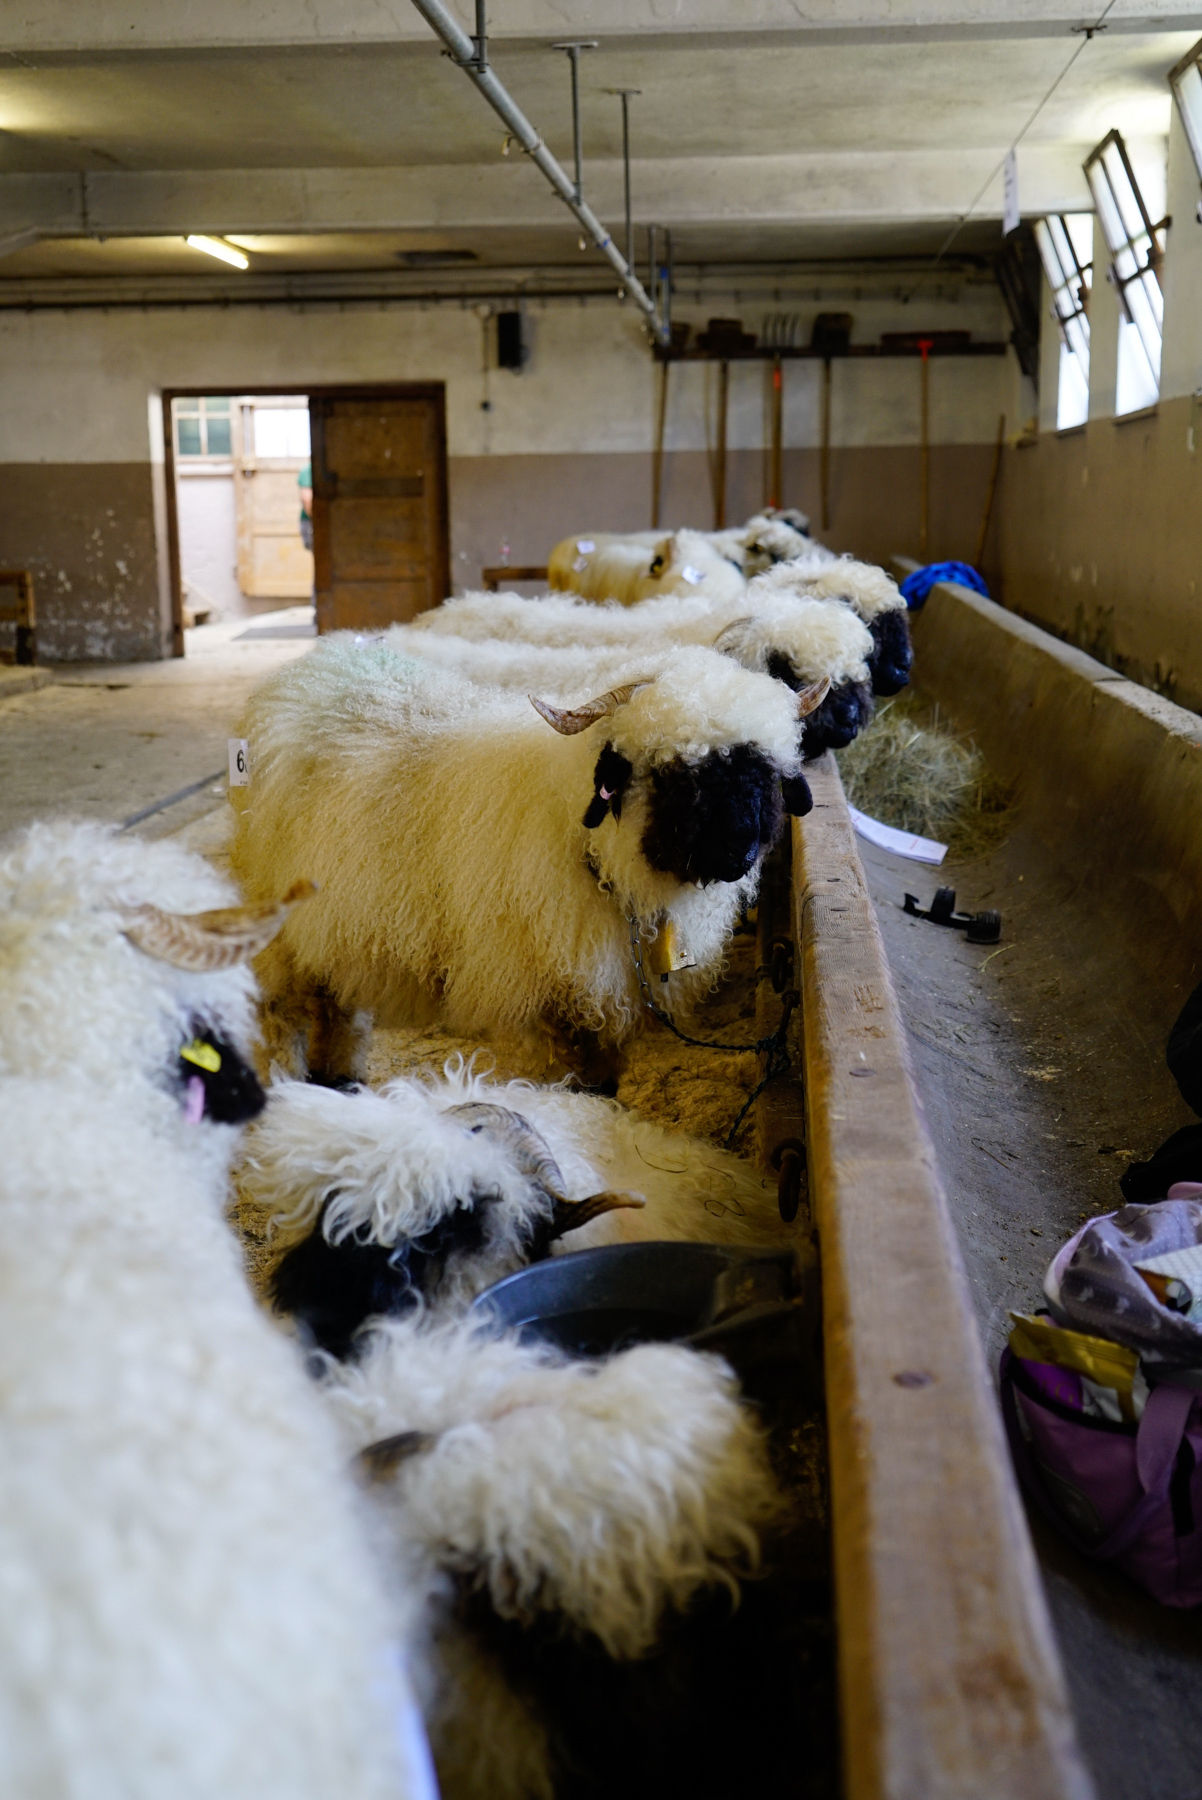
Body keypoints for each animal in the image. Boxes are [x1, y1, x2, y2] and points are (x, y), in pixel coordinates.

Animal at [226, 640, 827, 1080]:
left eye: (763, 769)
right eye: (673, 774)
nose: (738, 853)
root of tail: (314, 662)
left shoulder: (608, 995)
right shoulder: (542, 997)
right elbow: (572, 1078)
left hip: (336, 929)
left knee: (335, 1002)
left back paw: (338, 1076)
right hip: (277, 924)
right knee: (284, 1011)